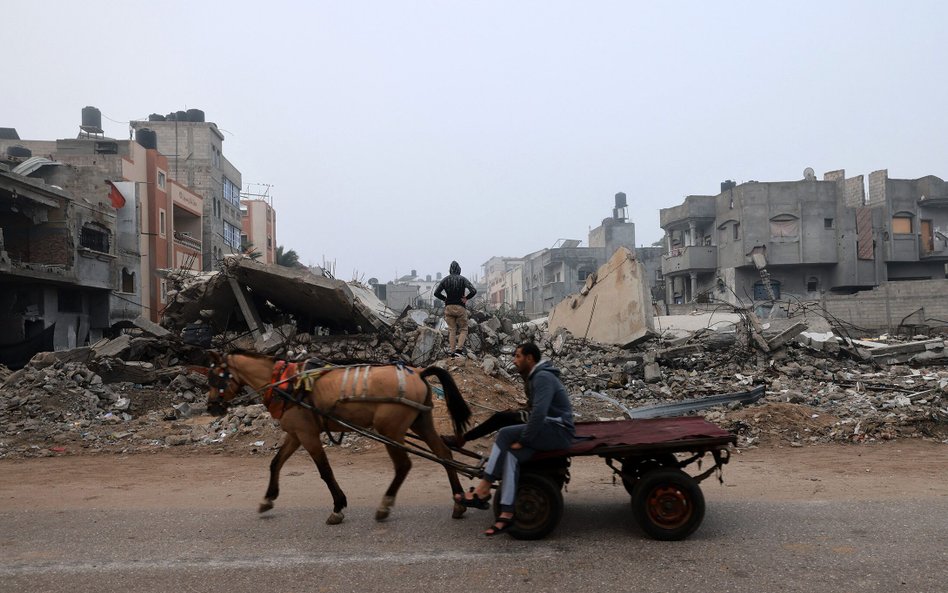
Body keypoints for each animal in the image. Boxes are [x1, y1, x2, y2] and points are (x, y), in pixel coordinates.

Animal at [206, 350, 474, 524]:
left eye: (215, 376)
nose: (211, 407)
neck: (286, 384)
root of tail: (418, 372)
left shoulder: (308, 435)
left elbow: (325, 471)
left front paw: (338, 506)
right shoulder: (296, 433)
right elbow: (275, 463)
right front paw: (268, 499)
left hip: (390, 429)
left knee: (404, 465)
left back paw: (385, 505)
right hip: (421, 422)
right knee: (443, 454)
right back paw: (459, 502)